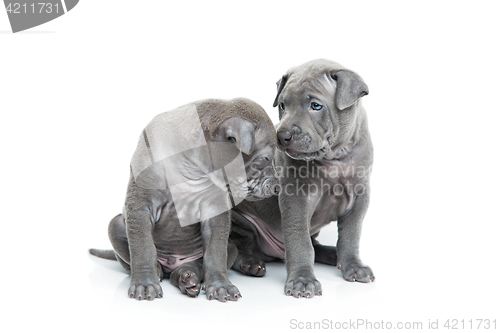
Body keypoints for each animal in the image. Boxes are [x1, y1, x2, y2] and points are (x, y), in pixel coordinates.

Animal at [89, 98, 278, 300]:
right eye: (265, 159)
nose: (277, 187)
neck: (191, 167)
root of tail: (172, 263)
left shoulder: (215, 212)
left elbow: (215, 254)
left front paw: (220, 286)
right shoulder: (140, 207)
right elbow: (143, 248)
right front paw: (145, 284)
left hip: (230, 247)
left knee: (192, 267)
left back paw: (187, 277)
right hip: (116, 225)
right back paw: (158, 272)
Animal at [230, 59, 376, 296]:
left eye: (316, 106)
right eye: (282, 105)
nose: (282, 136)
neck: (334, 158)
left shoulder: (360, 197)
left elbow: (351, 235)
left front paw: (354, 266)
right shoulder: (297, 198)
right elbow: (300, 241)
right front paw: (303, 280)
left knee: (315, 243)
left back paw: (332, 253)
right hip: (239, 220)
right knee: (238, 246)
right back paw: (250, 263)